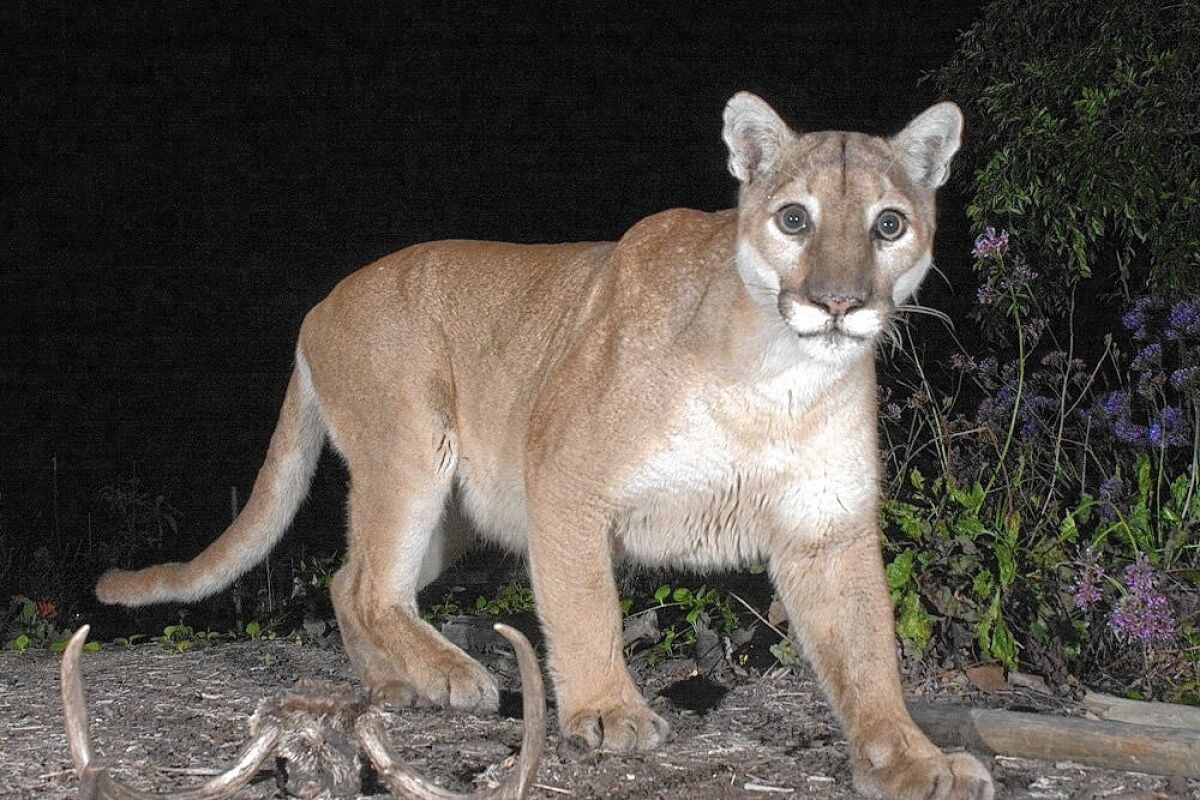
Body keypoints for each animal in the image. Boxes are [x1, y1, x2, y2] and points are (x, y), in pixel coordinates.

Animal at [96, 90, 993, 796]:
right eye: (794, 218)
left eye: (889, 225)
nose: (839, 304)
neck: (777, 381)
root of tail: (318, 307)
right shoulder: (564, 476)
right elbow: (586, 602)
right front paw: (607, 711)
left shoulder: (824, 527)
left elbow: (869, 658)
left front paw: (914, 761)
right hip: (412, 449)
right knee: (372, 585)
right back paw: (452, 677)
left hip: (457, 510)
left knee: (349, 579)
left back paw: (398, 683)